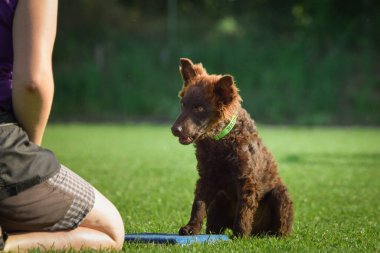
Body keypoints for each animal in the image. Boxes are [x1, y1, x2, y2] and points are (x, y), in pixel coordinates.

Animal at [172, 58, 294, 236]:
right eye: (183, 104)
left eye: (199, 108)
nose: (174, 129)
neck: (220, 142)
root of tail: (257, 232)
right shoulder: (206, 178)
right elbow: (198, 205)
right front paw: (191, 228)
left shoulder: (246, 181)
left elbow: (243, 211)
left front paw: (240, 235)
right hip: (219, 199)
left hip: (280, 194)